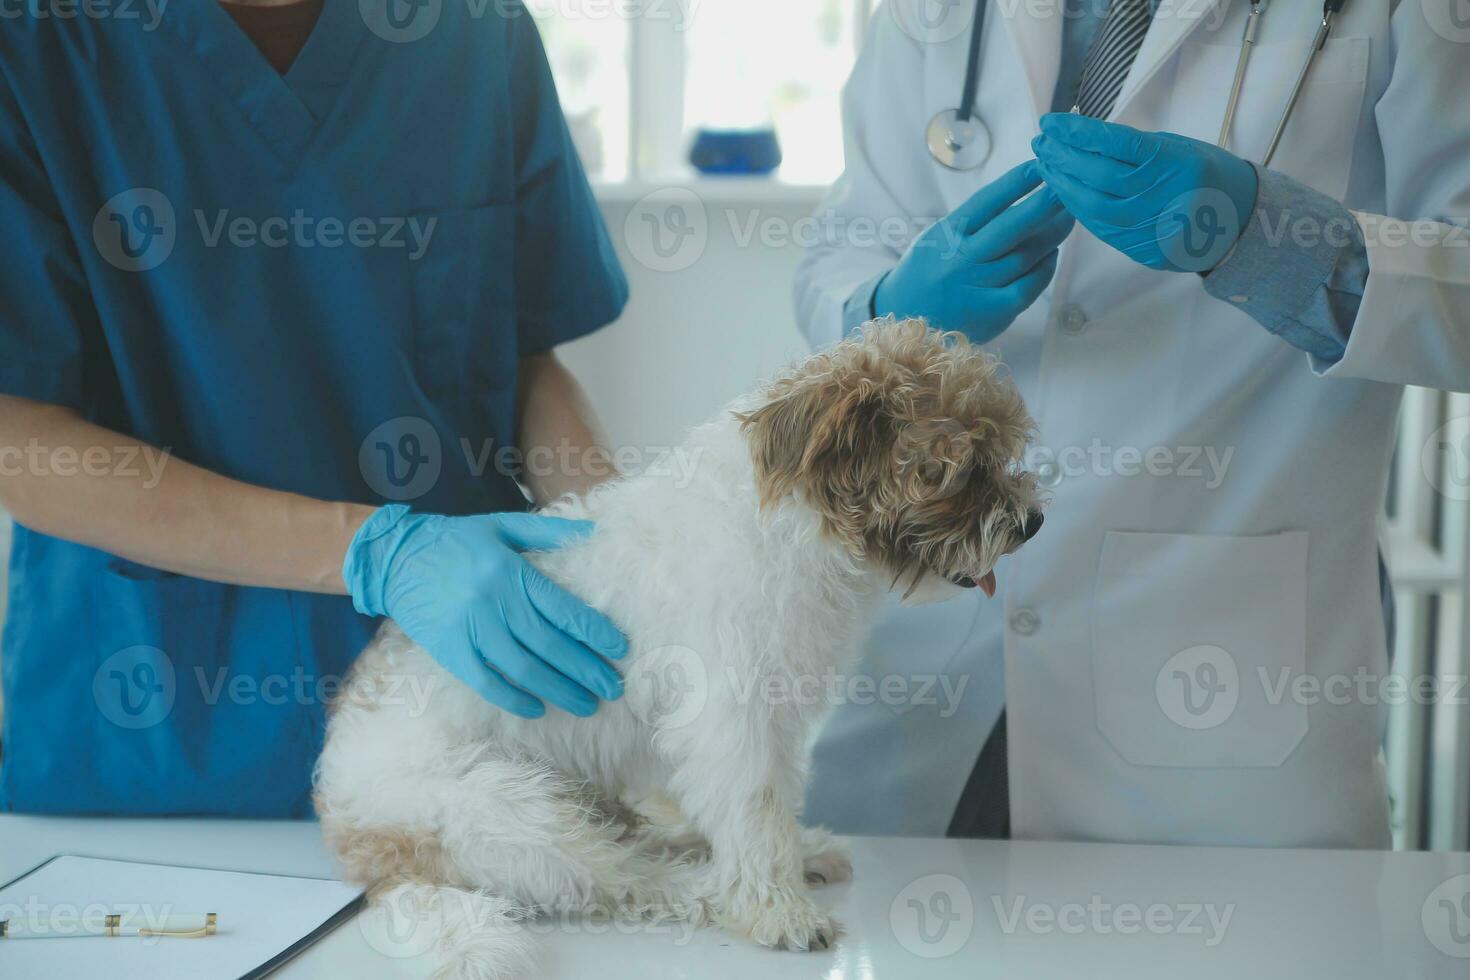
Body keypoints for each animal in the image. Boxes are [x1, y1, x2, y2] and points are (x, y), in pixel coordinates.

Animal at [314, 318, 1040, 975]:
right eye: (961, 468)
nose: (1032, 522)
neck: (796, 529)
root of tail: (363, 849)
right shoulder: (731, 719)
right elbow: (754, 813)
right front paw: (778, 909)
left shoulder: (774, 719)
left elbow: (774, 801)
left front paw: (797, 853)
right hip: (505, 810)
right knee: (622, 880)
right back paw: (706, 887)